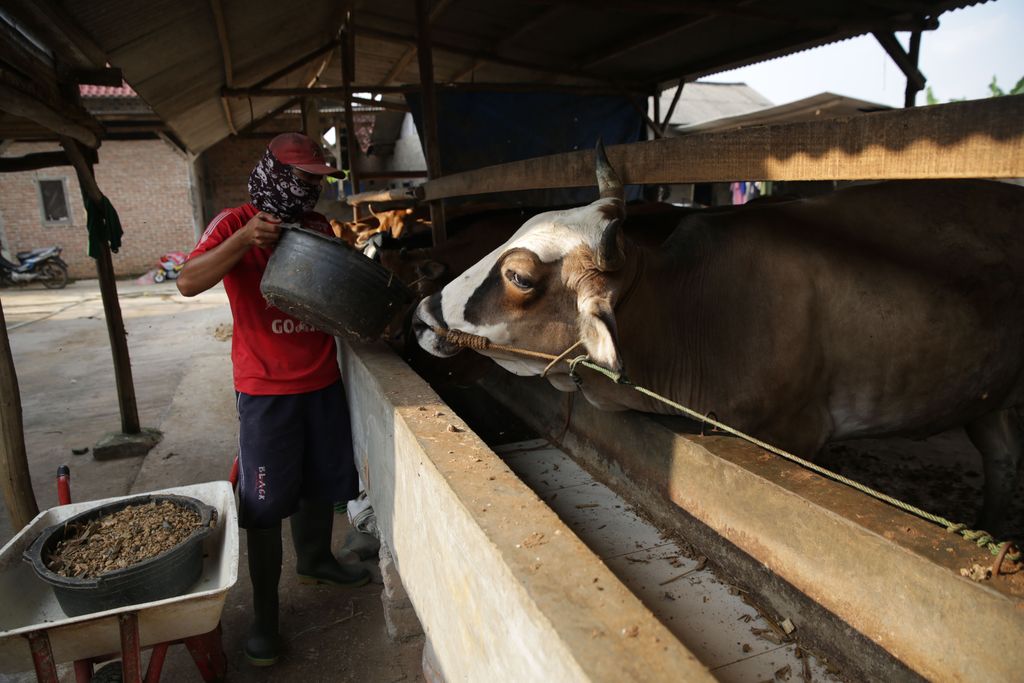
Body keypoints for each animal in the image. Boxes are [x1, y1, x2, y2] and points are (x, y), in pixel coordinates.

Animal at [411, 141, 1024, 532]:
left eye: (518, 277)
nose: (421, 315)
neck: (695, 314)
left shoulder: (797, 435)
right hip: (988, 402)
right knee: (1002, 461)